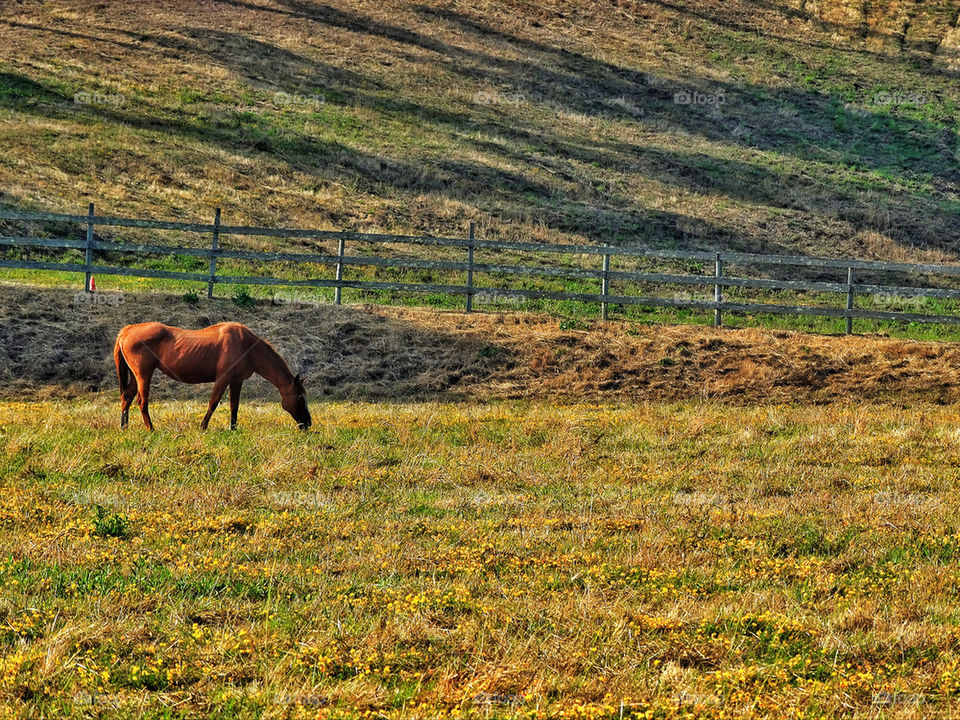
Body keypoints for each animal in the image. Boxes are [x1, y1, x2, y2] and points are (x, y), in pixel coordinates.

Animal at [111, 324, 312, 430]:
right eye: (300, 396)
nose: (308, 423)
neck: (247, 346)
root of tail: (127, 330)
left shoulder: (236, 380)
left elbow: (234, 406)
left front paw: (233, 428)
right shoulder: (223, 379)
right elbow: (213, 402)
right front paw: (203, 426)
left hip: (136, 377)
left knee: (126, 398)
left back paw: (124, 426)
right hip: (144, 375)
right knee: (141, 401)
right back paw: (151, 428)